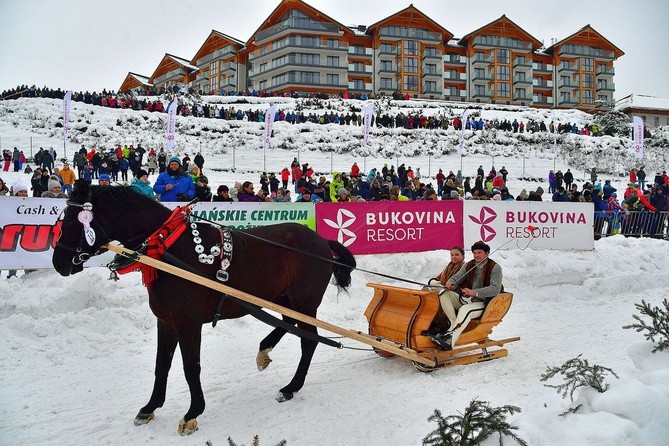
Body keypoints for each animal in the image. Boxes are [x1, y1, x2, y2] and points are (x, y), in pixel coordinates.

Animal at [53, 179, 354, 436]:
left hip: (304, 301)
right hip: (283, 298)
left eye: (71, 221)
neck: (167, 248)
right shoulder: (167, 322)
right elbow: (161, 365)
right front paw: (150, 408)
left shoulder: (188, 324)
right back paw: (264, 351)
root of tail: (321, 241)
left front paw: (192, 413)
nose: (58, 263)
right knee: (288, 325)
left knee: (309, 340)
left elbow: (190, 367)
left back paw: (291, 387)